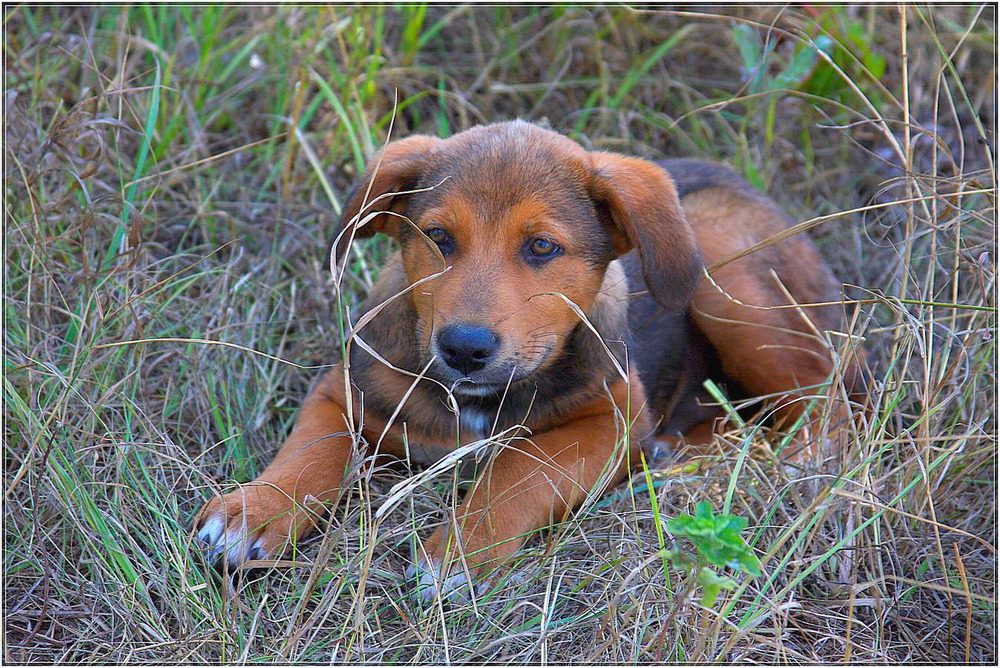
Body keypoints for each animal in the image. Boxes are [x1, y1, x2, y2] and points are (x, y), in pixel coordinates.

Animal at [193, 120, 860, 600]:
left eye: (541, 247)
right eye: (438, 237)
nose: (463, 348)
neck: (477, 397)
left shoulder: (610, 422)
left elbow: (520, 470)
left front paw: (460, 551)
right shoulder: (345, 391)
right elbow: (310, 450)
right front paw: (254, 511)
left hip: (724, 271)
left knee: (826, 395)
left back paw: (794, 462)